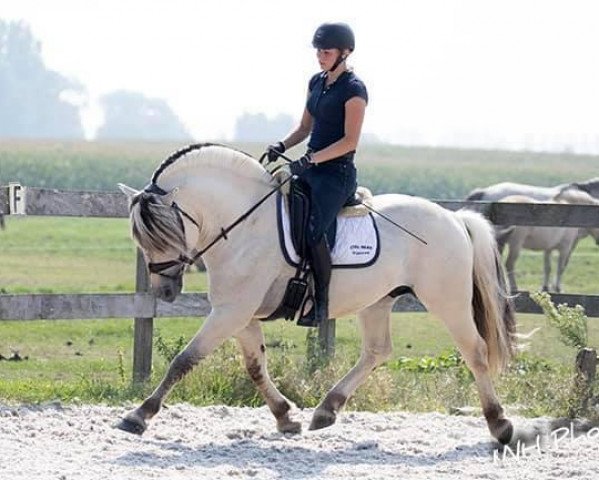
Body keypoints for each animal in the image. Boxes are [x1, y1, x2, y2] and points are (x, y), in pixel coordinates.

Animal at [118, 143, 520, 446]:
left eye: (164, 232)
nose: (165, 290)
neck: (245, 223)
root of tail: (455, 219)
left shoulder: (231, 312)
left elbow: (184, 360)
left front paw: (139, 415)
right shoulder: (239, 314)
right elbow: (255, 366)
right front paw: (285, 417)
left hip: (447, 300)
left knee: (475, 351)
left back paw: (500, 424)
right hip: (378, 300)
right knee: (377, 351)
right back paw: (327, 409)